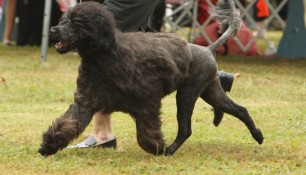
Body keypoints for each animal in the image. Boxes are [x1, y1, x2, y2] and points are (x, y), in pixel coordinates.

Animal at [38, 0, 262, 156]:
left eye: (76, 23)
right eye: (64, 20)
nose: (53, 30)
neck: (105, 56)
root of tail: (207, 49)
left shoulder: (147, 102)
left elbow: (146, 133)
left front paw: (156, 148)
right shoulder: (86, 101)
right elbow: (68, 123)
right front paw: (48, 146)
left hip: (187, 94)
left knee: (186, 130)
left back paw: (168, 151)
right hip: (209, 91)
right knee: (239, 109)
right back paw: (256, 134)